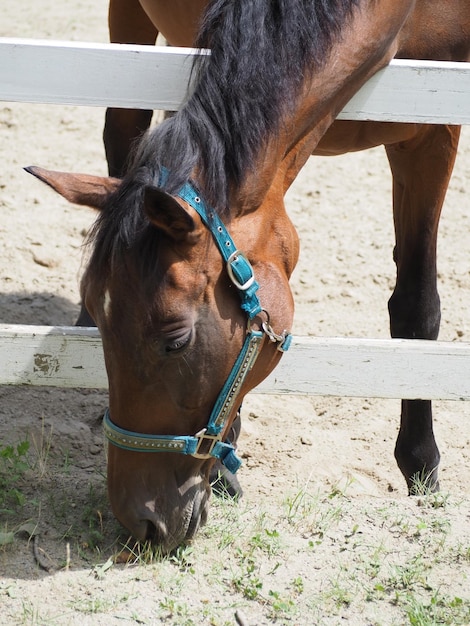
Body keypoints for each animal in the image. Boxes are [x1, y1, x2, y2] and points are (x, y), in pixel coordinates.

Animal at [28, 0, 470, 548]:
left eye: (176, 342)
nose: (141, 522)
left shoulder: (432, 132)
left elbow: (416, 307)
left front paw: (421, 464)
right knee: (122, 129)